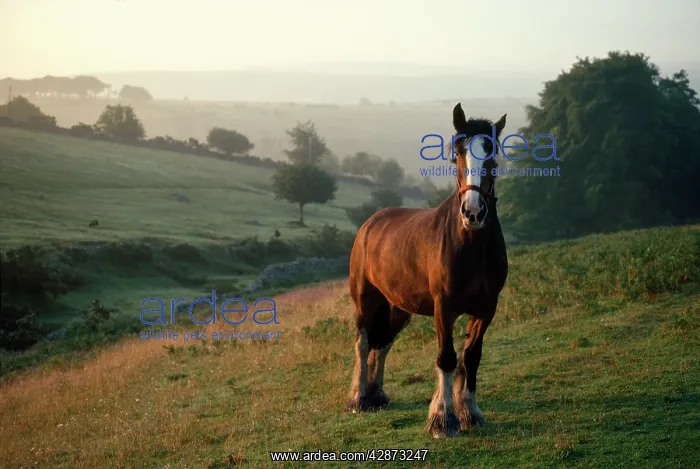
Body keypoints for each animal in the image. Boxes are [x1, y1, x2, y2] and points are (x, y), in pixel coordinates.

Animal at [347, 103, 509, 438]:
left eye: (493, 157)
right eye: (457, 154)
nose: (473, 212)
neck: (471, 245)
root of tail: (370, 223)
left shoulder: (486, 308)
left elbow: (471, 356)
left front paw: (470, 412)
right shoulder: (443, 307)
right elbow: (446, 358)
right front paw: (443, 419)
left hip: (397, 307)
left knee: (383, 343)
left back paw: (376, 395)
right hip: (365, 300)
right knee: (364, 343)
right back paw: (359, 398)